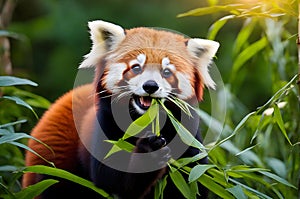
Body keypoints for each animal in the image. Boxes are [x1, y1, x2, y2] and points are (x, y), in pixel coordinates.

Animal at [22, 19, 218, 198]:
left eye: (167, 72)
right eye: (136, 68)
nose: (150, 86)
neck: (144, 121)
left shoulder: (187, 136)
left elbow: (193, 180)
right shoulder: (105, 124)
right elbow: (111, 180)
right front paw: (150, 152)